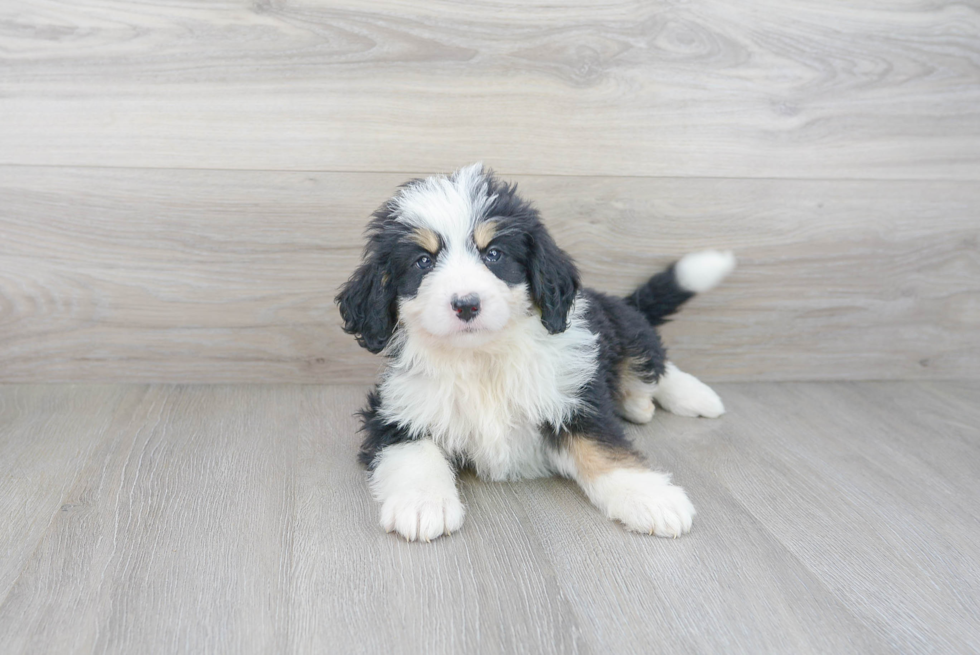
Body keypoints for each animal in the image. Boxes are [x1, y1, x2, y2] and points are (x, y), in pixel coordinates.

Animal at [338, 163, 736, 544]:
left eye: (494, 254)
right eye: (423, 261)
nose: (466, 305)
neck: (482, 359)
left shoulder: (573, 399)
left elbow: (604, 449)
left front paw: (652, 498)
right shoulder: (393, 409)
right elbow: (413, 450)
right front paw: (422, 504)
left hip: (623, 330)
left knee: (652, 362)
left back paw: (691, 396)